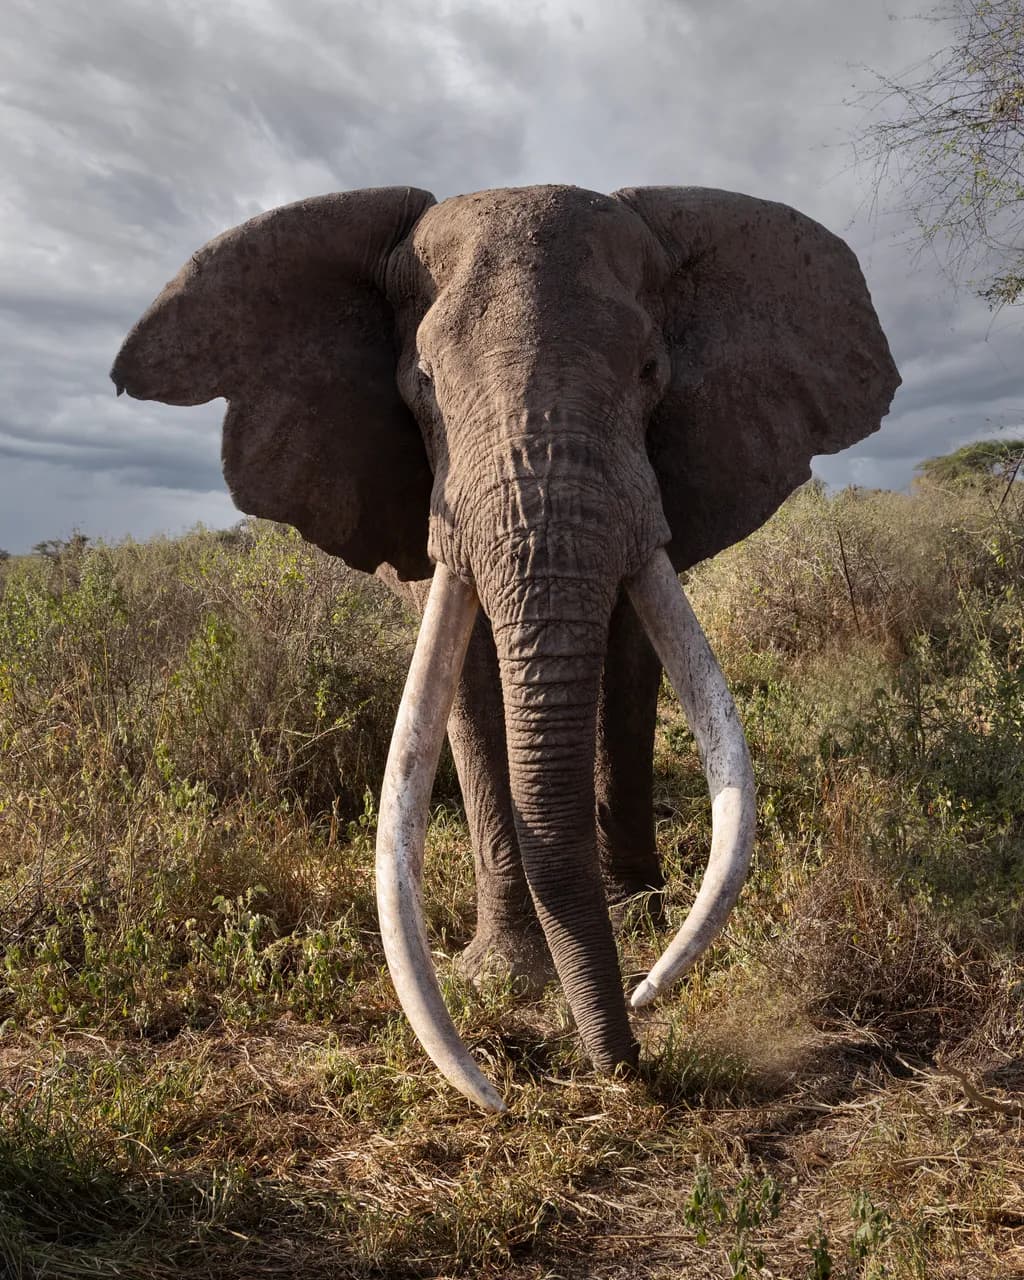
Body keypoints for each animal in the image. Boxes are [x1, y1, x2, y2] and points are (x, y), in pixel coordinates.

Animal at [111, 184, 900, 1111]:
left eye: (651, 373)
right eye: (421, 385)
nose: (626, 1056)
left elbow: (631, 658)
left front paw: (635, 921)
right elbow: (468, 684)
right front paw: (507, 979)